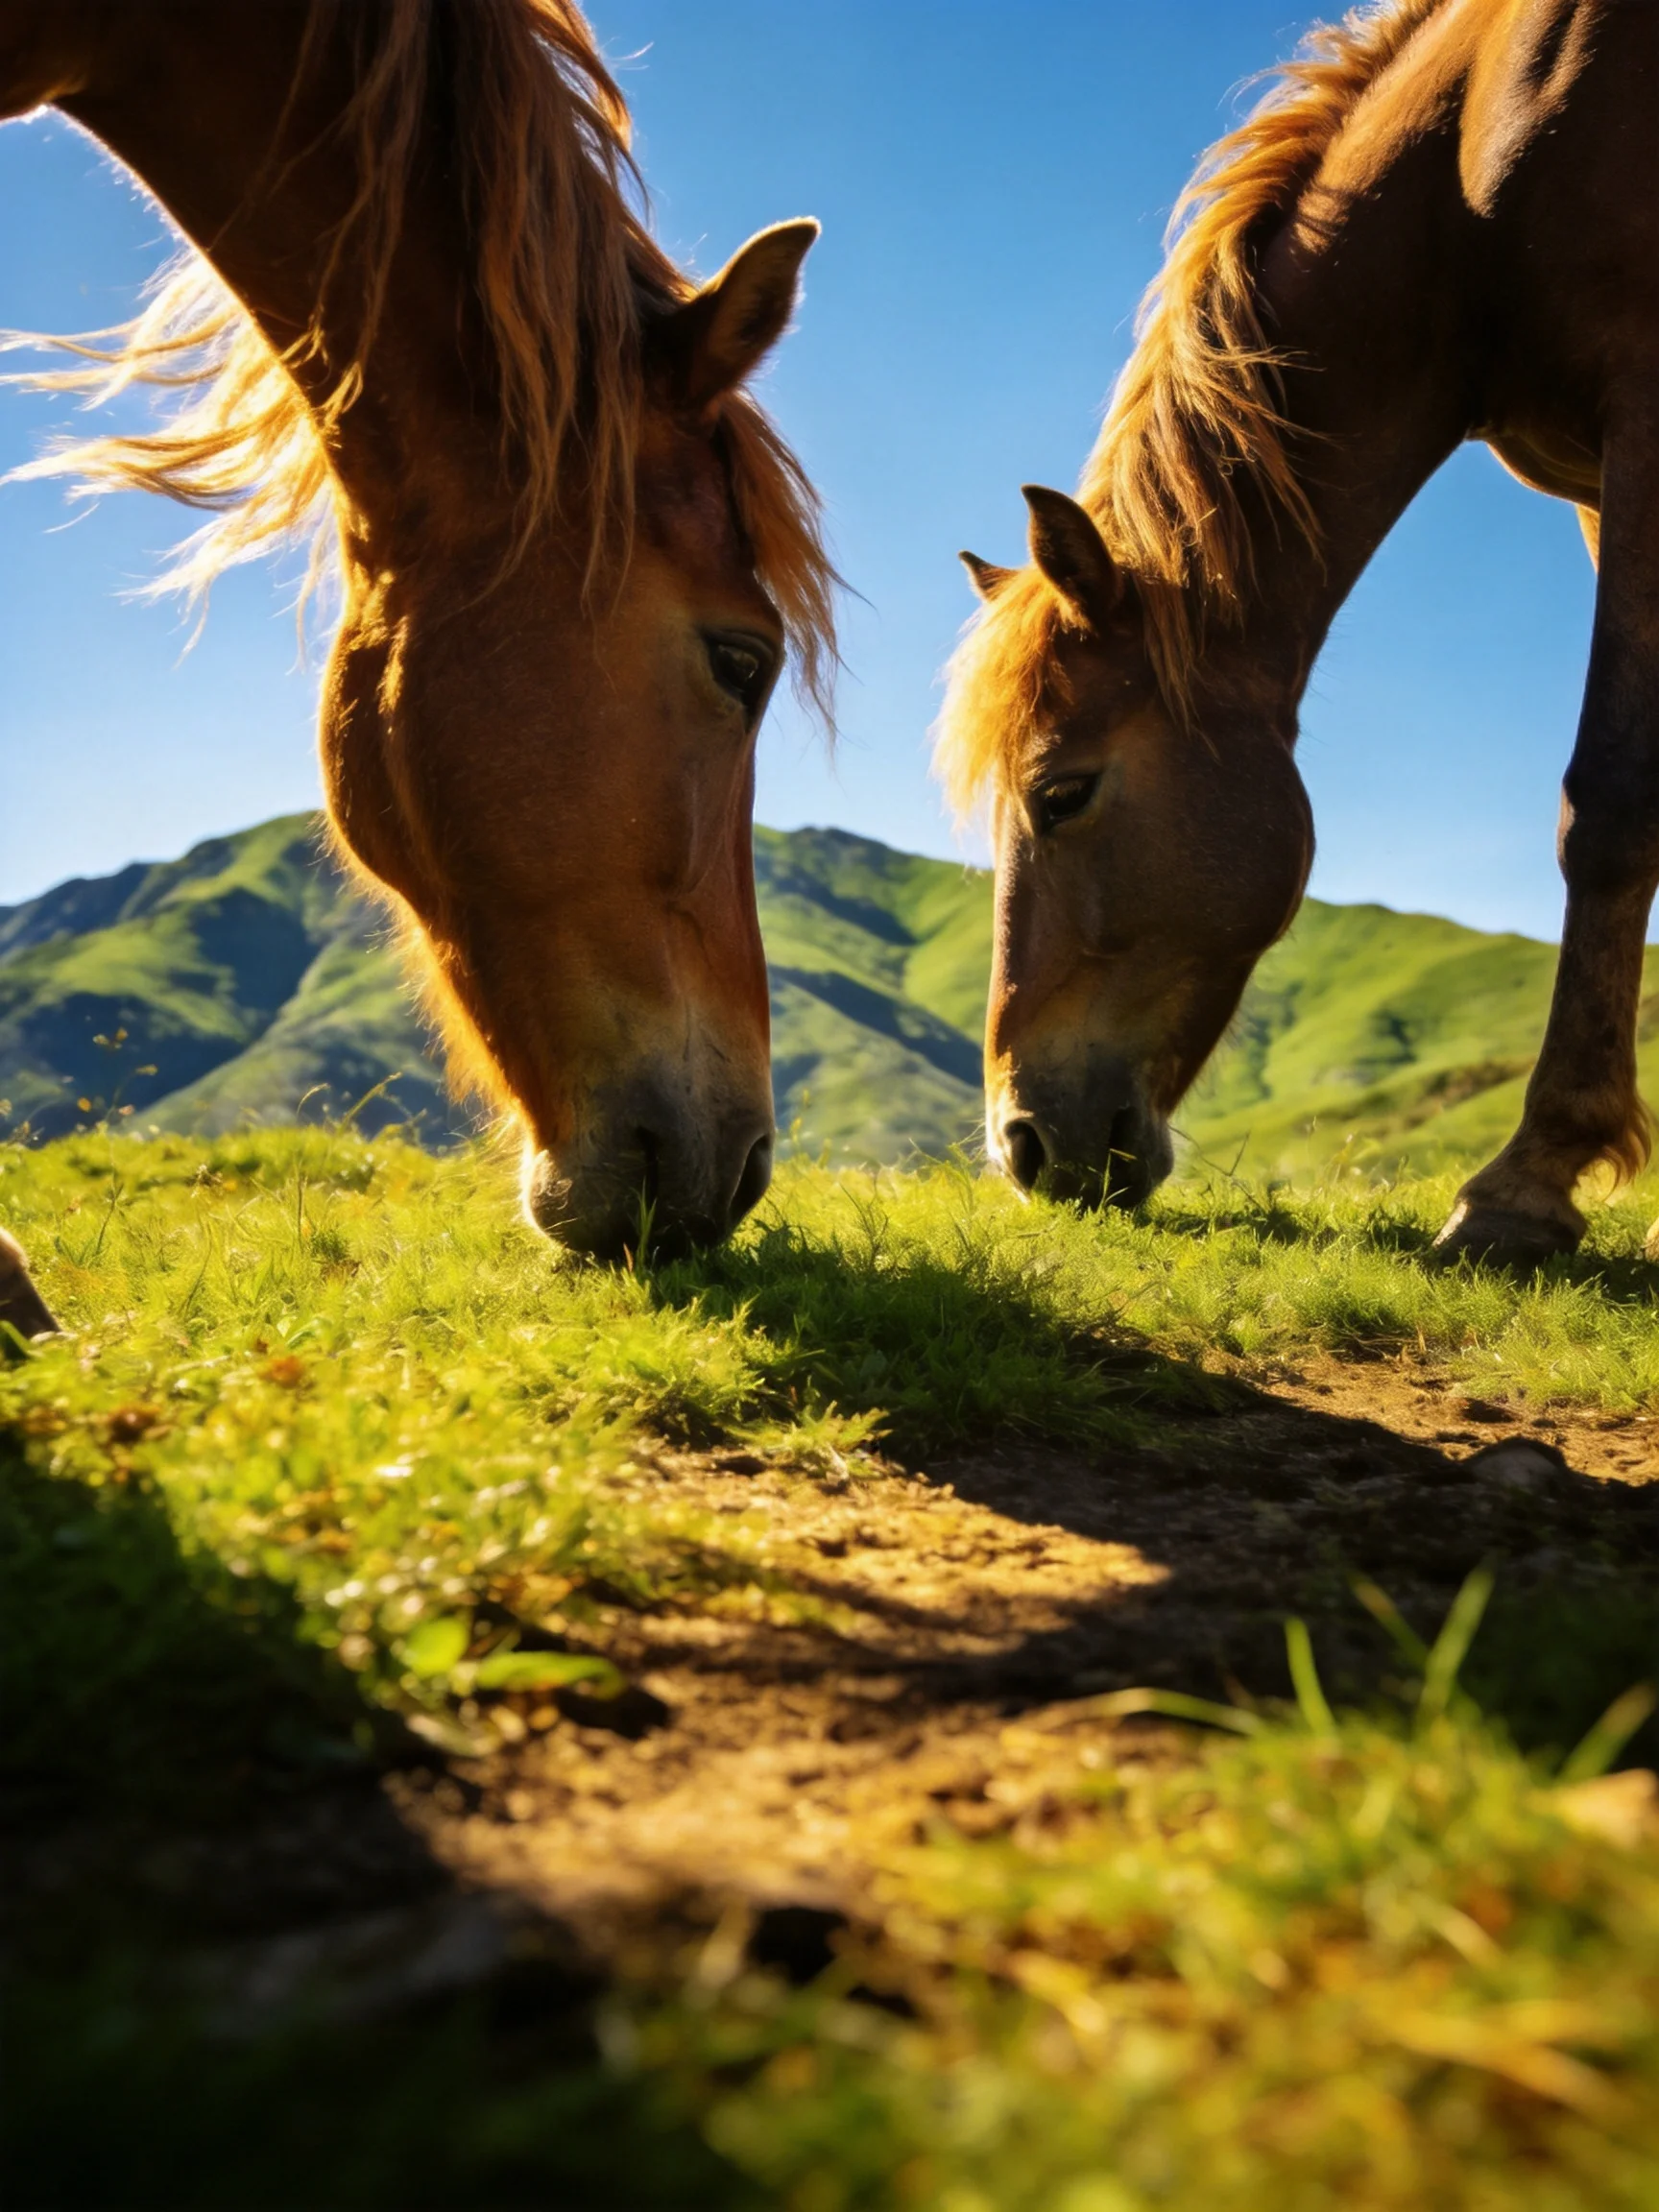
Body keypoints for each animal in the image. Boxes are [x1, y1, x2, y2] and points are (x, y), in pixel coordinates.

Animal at [938, 0, 1658, 1265]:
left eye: (1060, 794)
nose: (1021, 1147)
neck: (1475, 172)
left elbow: (1610, 802)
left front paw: (1526, 1184)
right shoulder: (1594, 485)